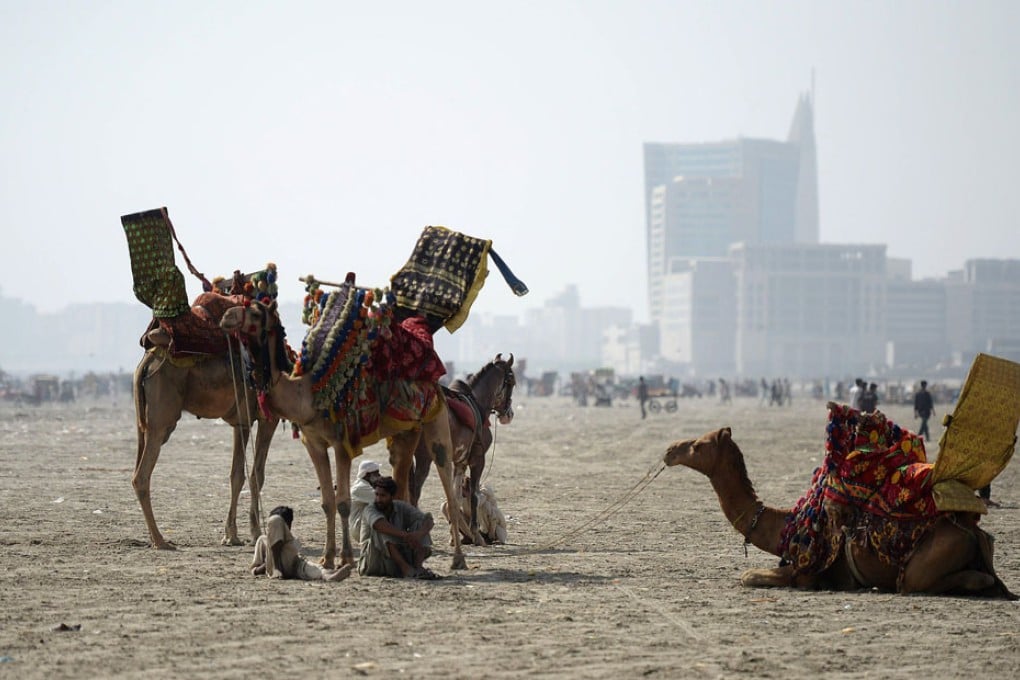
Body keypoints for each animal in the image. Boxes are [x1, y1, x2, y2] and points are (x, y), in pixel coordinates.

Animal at [133, 346, 278, 549]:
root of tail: (147, 362)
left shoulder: (241, 422)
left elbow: (237, 475)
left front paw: (230, 536)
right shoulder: (269, 417)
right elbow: (257, 475)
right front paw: (256, 533)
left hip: (142, 421)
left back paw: (155, 539)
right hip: (161, 420)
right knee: (141, 475)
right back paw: (161, 541)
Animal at [219, 298, 467, 571]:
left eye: (255, 313)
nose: (227, 316)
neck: (305, 393)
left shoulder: (342, 444)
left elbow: (343, 502)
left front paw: (346, 557)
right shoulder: (313, 443)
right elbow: (327, 501)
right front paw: (327, 558)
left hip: (437, 421)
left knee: (448, 485)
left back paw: (458, 558)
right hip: (406, 432)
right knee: (401, 482)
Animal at [403, 353, 516, 545]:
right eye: (512, 382)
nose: (509, 414)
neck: (478, 404)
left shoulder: (460, 461)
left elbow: (454, 498)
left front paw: (453, 535)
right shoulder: (478, 459)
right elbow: (474, 496)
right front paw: (476, 535)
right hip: (424, 457)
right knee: (415, 490)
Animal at [663, 426, 1016, 598]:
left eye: (697, 446)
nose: (669, 450)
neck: (785, 524)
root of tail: (972, 528)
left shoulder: (804, 573)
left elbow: (747, 576)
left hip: (930, 558)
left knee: (917, 581)